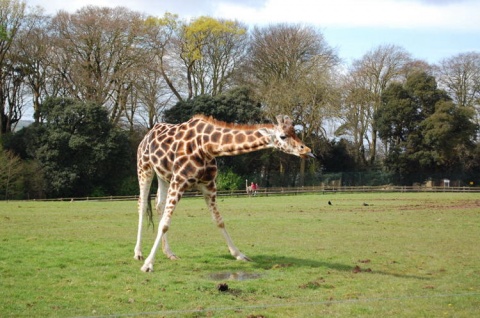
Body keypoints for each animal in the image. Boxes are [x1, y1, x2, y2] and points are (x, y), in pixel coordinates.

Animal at [135, 113, 316, 270]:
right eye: (282, 136)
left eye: (295, 132)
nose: (307, 150)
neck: (207, 146)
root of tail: (146, 136)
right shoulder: (179, 182)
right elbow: (165, 224)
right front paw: (148, 264)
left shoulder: (209, 186)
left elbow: (219, 221)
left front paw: (239, 254)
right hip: (145, 168)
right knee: (142, 204)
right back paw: (138, 253)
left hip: (163, 175)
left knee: (159, 204)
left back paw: (169, 253)